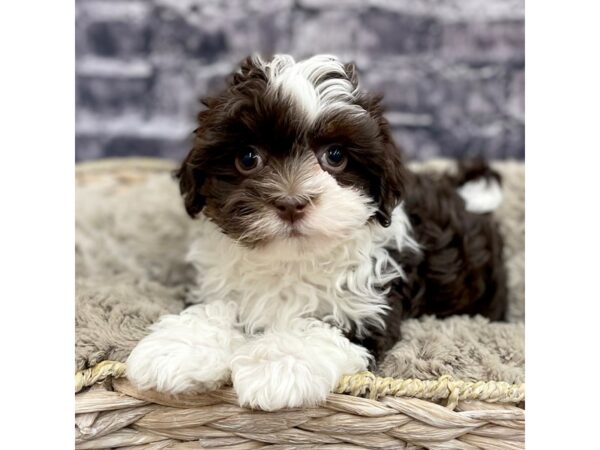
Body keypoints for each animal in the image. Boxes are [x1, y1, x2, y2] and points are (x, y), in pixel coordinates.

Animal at [126, 53, 506, 412]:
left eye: (335, 156)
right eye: (248, 158)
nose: (291, 203)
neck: (291, 260)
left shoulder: (369, 307)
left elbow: (317, 330)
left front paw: (276, 366)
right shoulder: (218, 284)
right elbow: (214, 310)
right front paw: (177, 349)